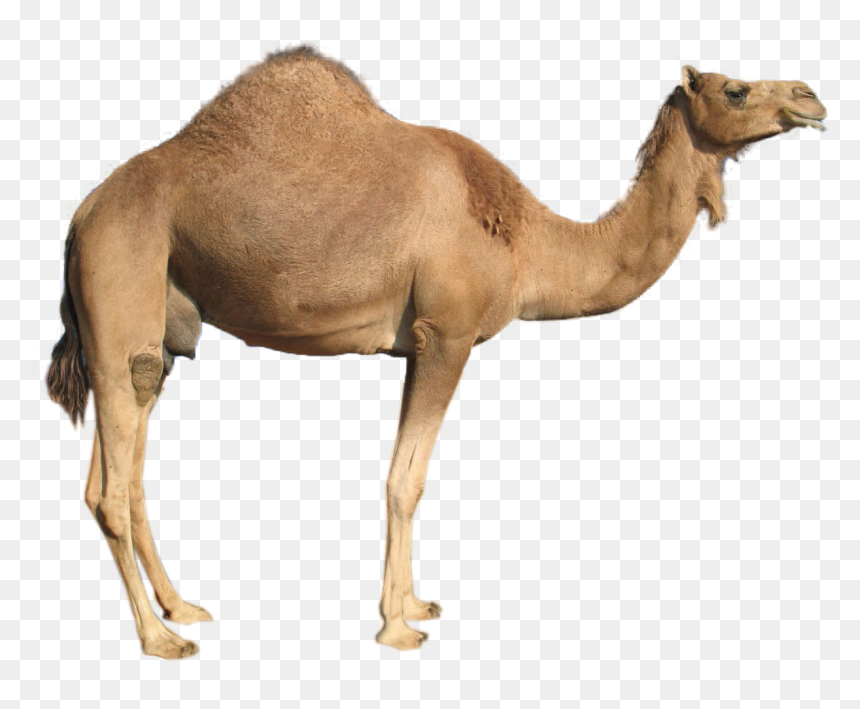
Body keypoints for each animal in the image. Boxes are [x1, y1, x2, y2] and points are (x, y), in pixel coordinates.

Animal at [46, 46, 826, 657]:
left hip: (157, 330)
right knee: (113, 484)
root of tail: (81, 215)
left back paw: (183, 606)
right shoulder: (444, 335)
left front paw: (414, 603)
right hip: (123, 285)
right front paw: (397, 626)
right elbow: (406, 480)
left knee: (119, 469)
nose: (810, 97)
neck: (531, 240)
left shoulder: (417, 345)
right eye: (735, 88)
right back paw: (161, 638)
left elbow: (406, 475)